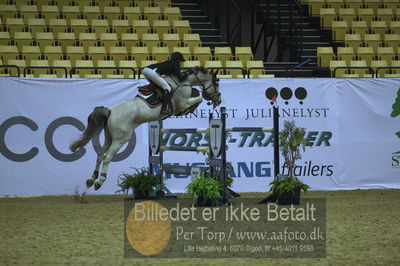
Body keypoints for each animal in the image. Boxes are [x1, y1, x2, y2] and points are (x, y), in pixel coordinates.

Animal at [70, 67, 223, 191]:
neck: (184, 81)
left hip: (109, 137)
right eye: (216, 82)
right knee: (107, 157)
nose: (219, 100)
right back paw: (100, 181)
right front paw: (191, 108)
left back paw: (91, 179)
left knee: (100, 155)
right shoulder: (181, 104)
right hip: (121, 139)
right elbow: (197, 99)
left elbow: (196, 96)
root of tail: (111, 110)